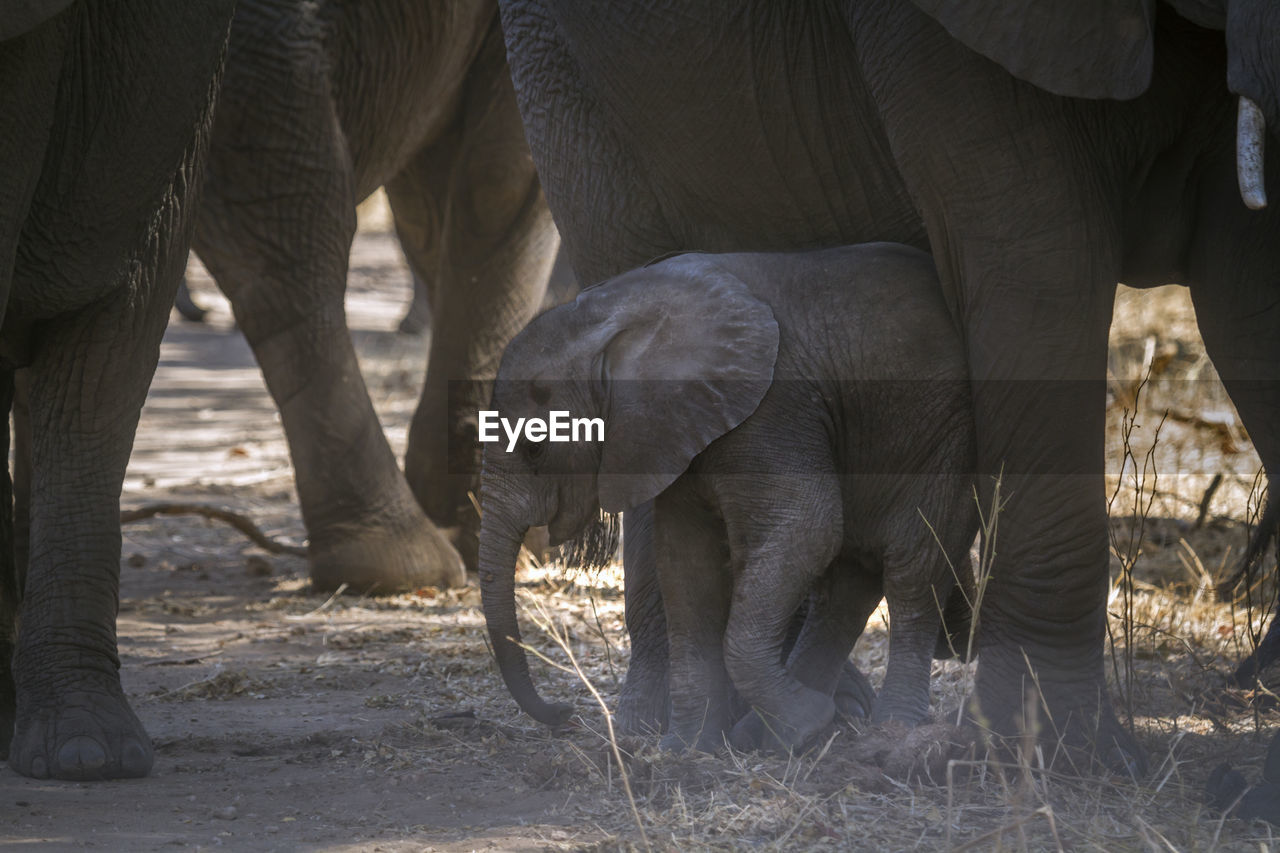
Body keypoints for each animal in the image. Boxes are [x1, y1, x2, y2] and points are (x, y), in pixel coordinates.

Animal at [476, 240, 972, 753]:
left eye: (534, 447)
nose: (566, 713)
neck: (609, 319)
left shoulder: (772, 410)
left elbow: (807, 524)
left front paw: (805, 726)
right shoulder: (675, 430)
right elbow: (684, 560)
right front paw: (687, 749)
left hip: (942, 434)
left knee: (914, 567)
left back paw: (887, 730)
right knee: (850, 584)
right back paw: (773, 734)